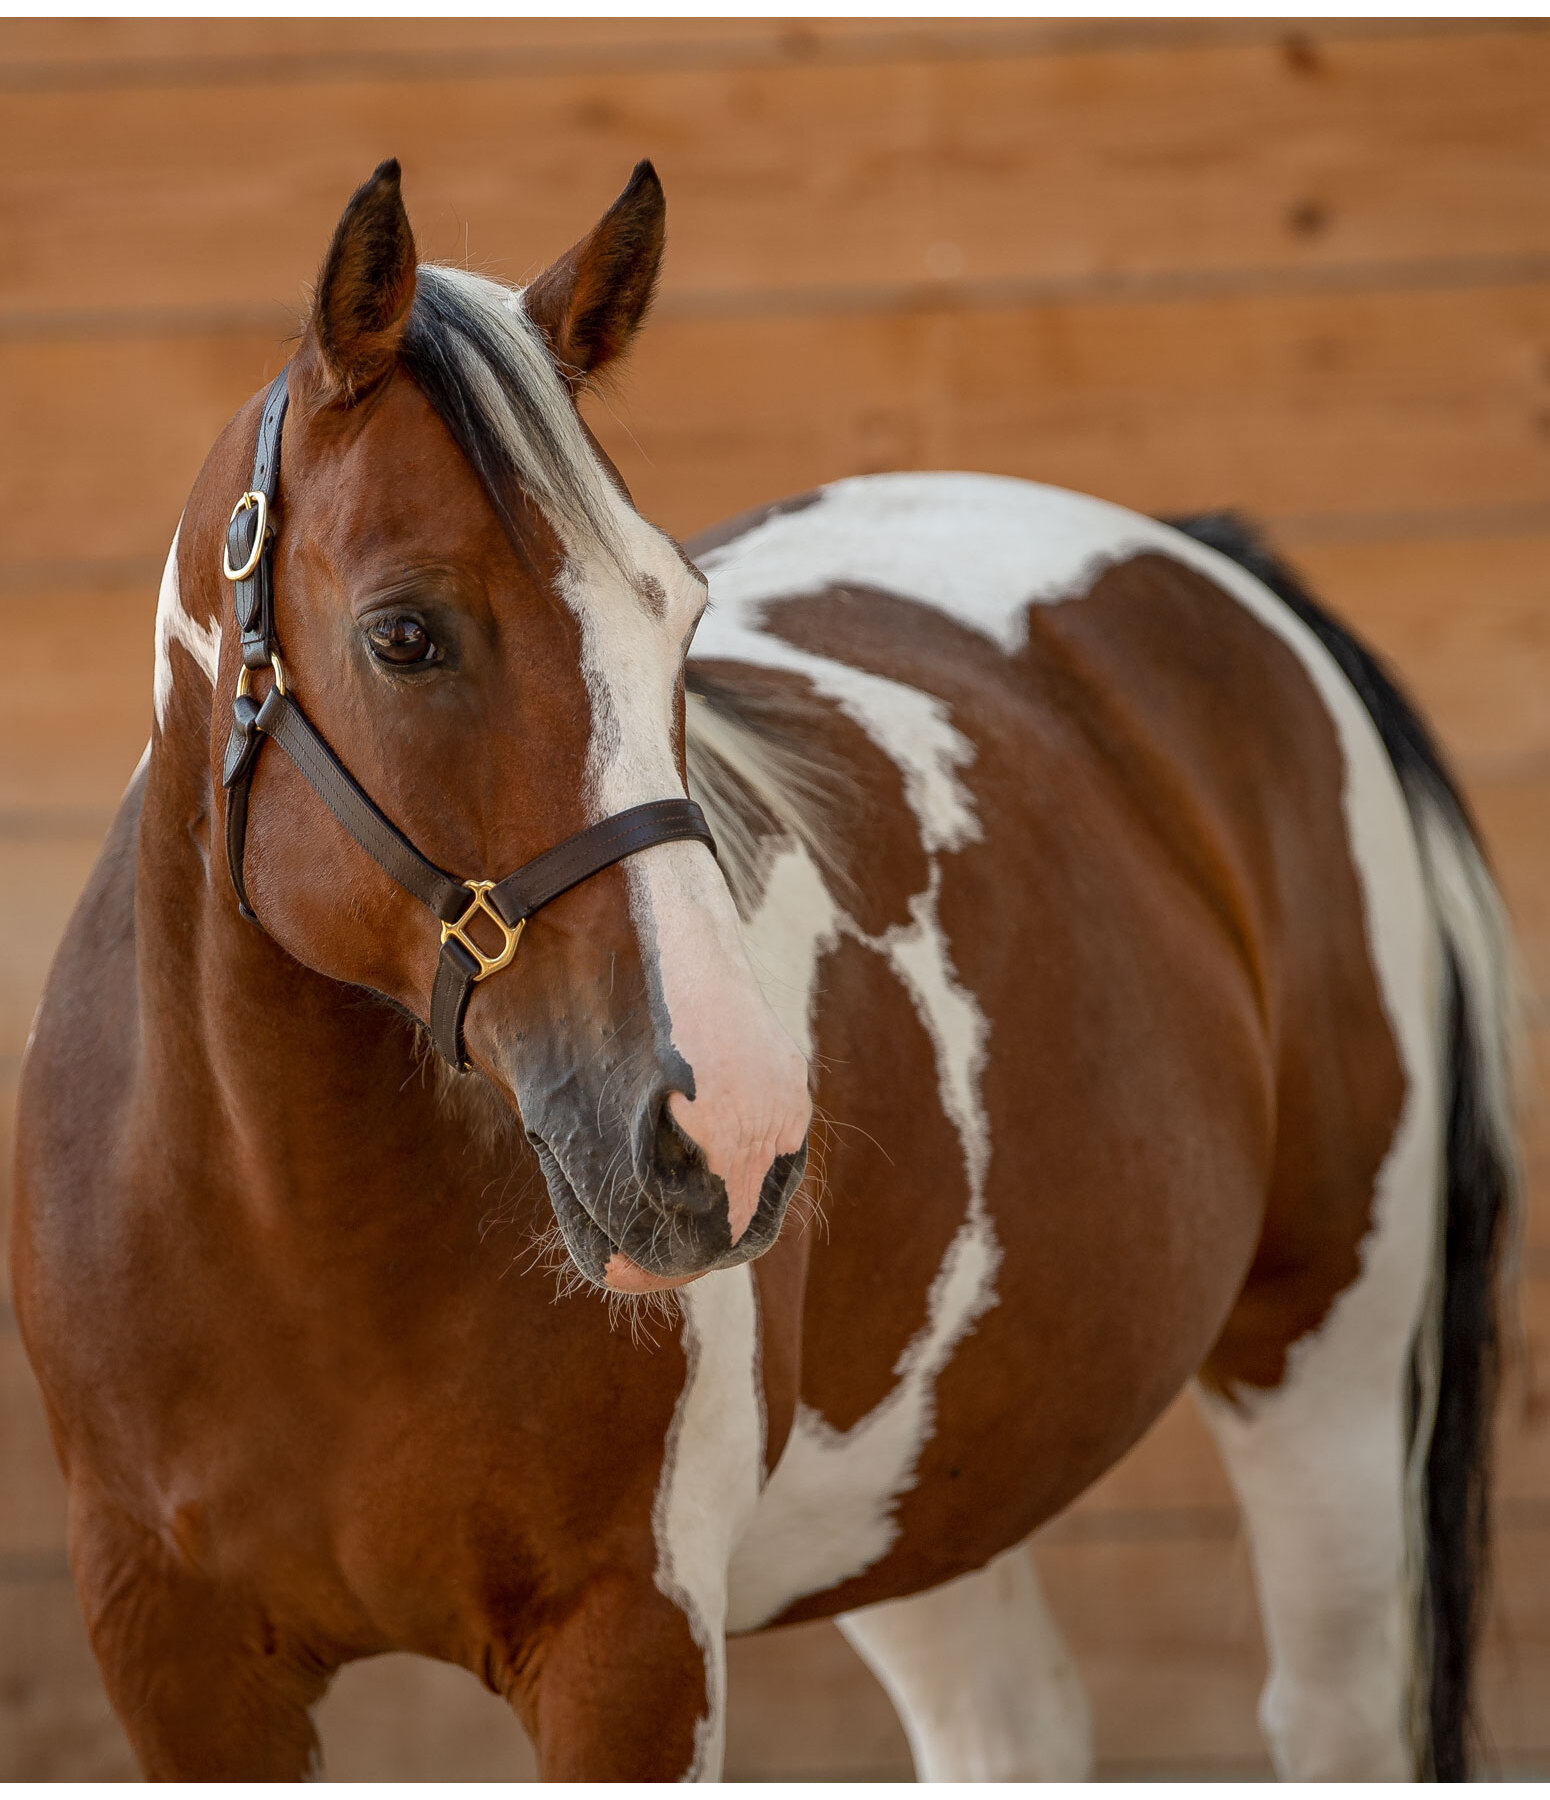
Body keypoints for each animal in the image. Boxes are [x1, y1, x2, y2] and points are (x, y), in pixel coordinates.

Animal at [9, 158, 1512, 1785]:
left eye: (679, 613)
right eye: (403, 634)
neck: (287, 1245)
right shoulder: (178, 1664)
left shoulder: (631, 1648)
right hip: (933, 1464)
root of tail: (1208, 560)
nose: (723, 1135)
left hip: (1326, 1375)